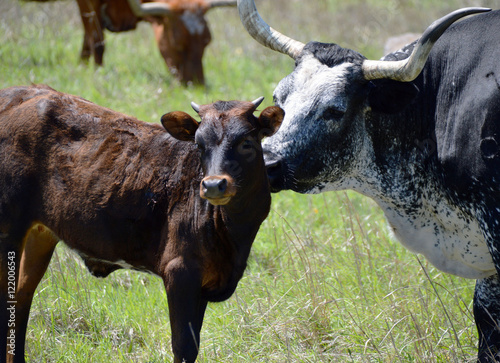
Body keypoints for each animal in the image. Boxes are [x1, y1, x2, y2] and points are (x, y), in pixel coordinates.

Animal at [0, 84, 282, 362]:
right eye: (199, 144)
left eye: (246, 143)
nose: (213, 185)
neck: (233, 235)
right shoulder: (180, 270)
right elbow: (184, 347)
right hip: (8, 230)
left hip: (39, 235)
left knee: (21, 297)